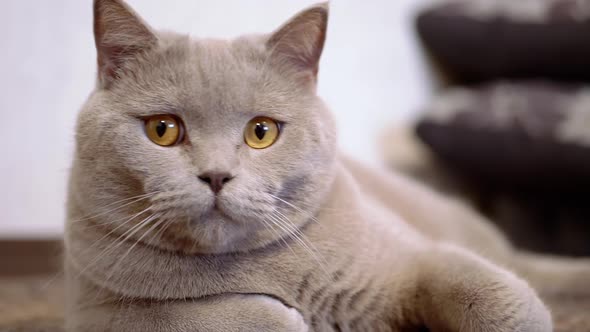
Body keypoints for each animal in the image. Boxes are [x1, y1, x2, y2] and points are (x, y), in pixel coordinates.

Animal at [65, 1, 590, 330]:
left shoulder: (415, 257)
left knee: (520, 266)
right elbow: (176, 315)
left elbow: (487, 291)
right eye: (163, 130)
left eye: (261, 132)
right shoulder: (95, 307)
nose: (216, 175)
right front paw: (282, 318)